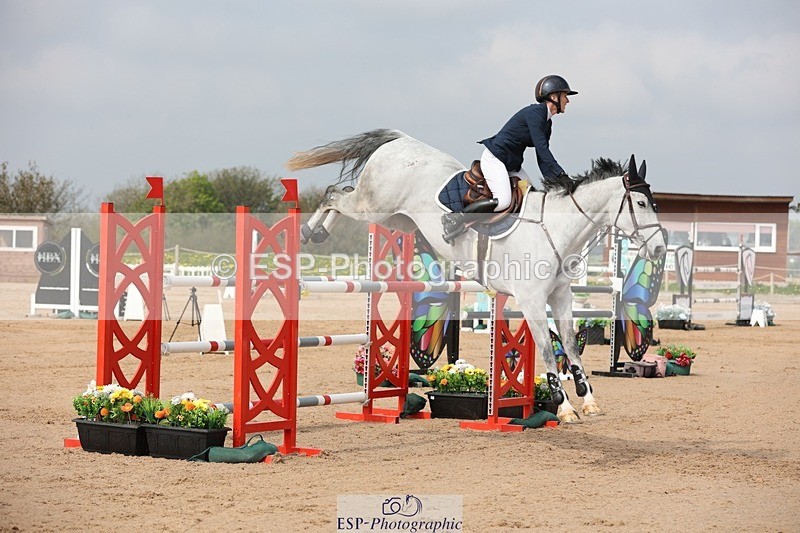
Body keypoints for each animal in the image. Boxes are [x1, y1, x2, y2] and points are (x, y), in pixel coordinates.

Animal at [286, 129, 666, 423]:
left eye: (655, 203)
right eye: (641, 204)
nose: (661, 249)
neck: (555, 229)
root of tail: (400, 140)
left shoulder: (560, 295)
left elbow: (571, 345)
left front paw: (588, 401)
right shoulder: (531, 300)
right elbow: (546, 349)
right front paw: (564, 408)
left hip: (397, 219)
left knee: (342, 196)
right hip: (374, 206)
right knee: (334, 194)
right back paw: (310, 232)